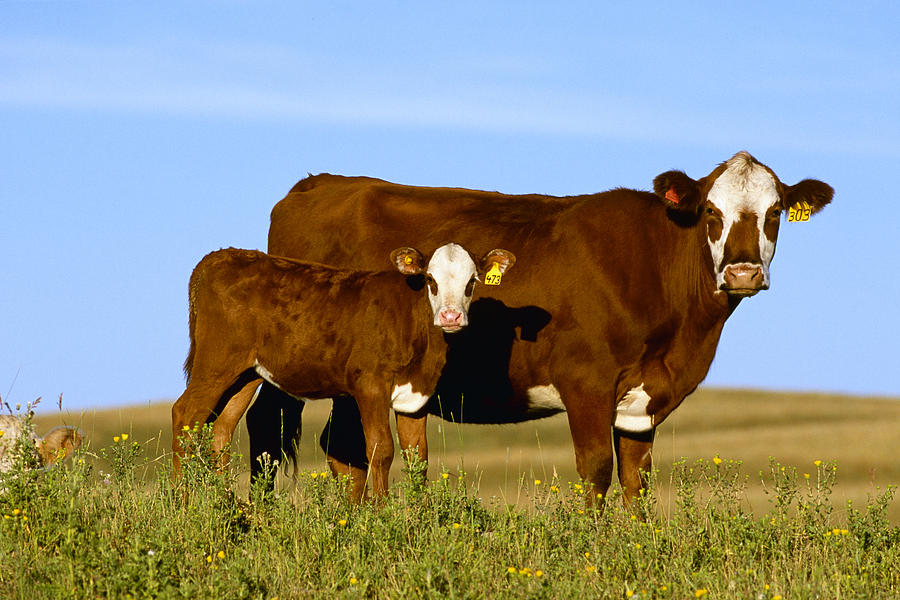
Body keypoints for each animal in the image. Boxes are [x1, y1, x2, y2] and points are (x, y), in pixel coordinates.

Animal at [171, 241, 512, 500]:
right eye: (430, 279)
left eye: (471, 281)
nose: (451, 316)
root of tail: (219, 257)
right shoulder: (370, 384)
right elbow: (380, 448)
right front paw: (382, 512)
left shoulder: (417, 395)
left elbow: (418, 456)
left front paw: (419, 519)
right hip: (216, 362)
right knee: (185, 414)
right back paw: (180, 502)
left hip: (245, 372)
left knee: (222, 427)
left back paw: (225, 504)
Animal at [248, 149, 836, 502]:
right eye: (712, 212)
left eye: (775, 213)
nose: (742, 271)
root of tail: (319, 182)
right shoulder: (586, 381)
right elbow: (596, 470)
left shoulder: (642, 401)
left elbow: (637, 479)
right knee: (266, 430)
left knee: (340, 445)